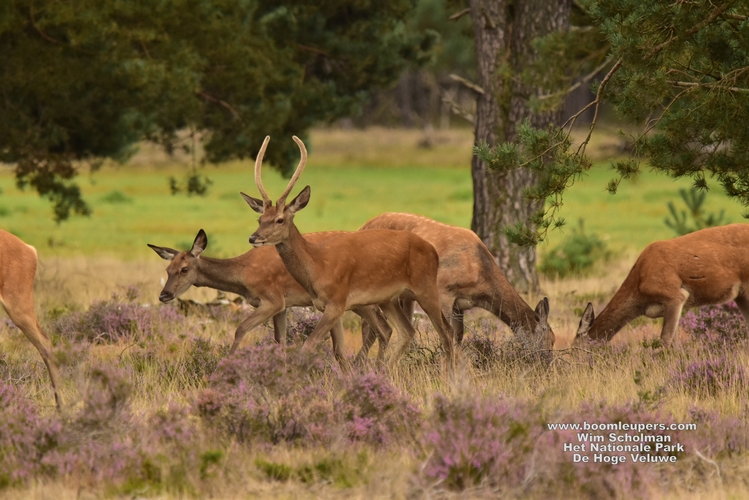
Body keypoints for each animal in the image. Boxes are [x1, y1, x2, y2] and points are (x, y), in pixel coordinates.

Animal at [148, 229, 391, 362]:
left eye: (184, 269)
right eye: (168, 269)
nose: (164, 295)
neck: (244, 275)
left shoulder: (272, 299)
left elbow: (240, 328)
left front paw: (225, 365)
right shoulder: (283, 304)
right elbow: (279, 341)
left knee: (383, 329)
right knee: (378, 331)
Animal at [240, 136, 456, 372]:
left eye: (279, 219)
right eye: (260, 219)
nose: (253, 238)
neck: (318, 267)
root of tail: (432, 250)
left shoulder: (337, 302)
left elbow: (309, 344)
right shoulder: (324, 305)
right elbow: (336, 349)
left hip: (426, 287)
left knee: (446, 332)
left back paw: (449, 375)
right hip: (388, 298)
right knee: (408, 330)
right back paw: (384, 372)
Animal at [357, 213, 554, 358]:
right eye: (550, 340)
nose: (548, 364)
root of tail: (361, 227)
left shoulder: (460, 304)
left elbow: (458, 335)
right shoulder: (443, 290)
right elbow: (445, 332)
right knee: (370, 326)